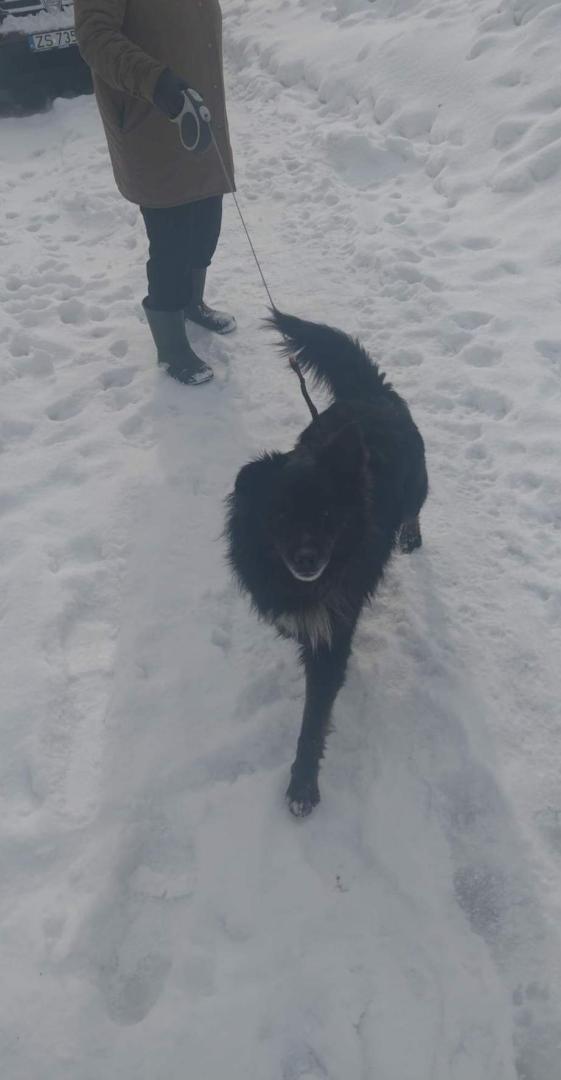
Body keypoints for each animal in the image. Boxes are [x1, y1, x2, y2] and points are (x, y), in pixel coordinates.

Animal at [226, 310, 428, 817]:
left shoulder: (332, 633)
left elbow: (314, 718)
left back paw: (410, 533)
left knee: (415, 506)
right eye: (279, 516)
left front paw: (302, 786)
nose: (307, 558)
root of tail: (371, 393)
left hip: (418, 484)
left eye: (326, 516)